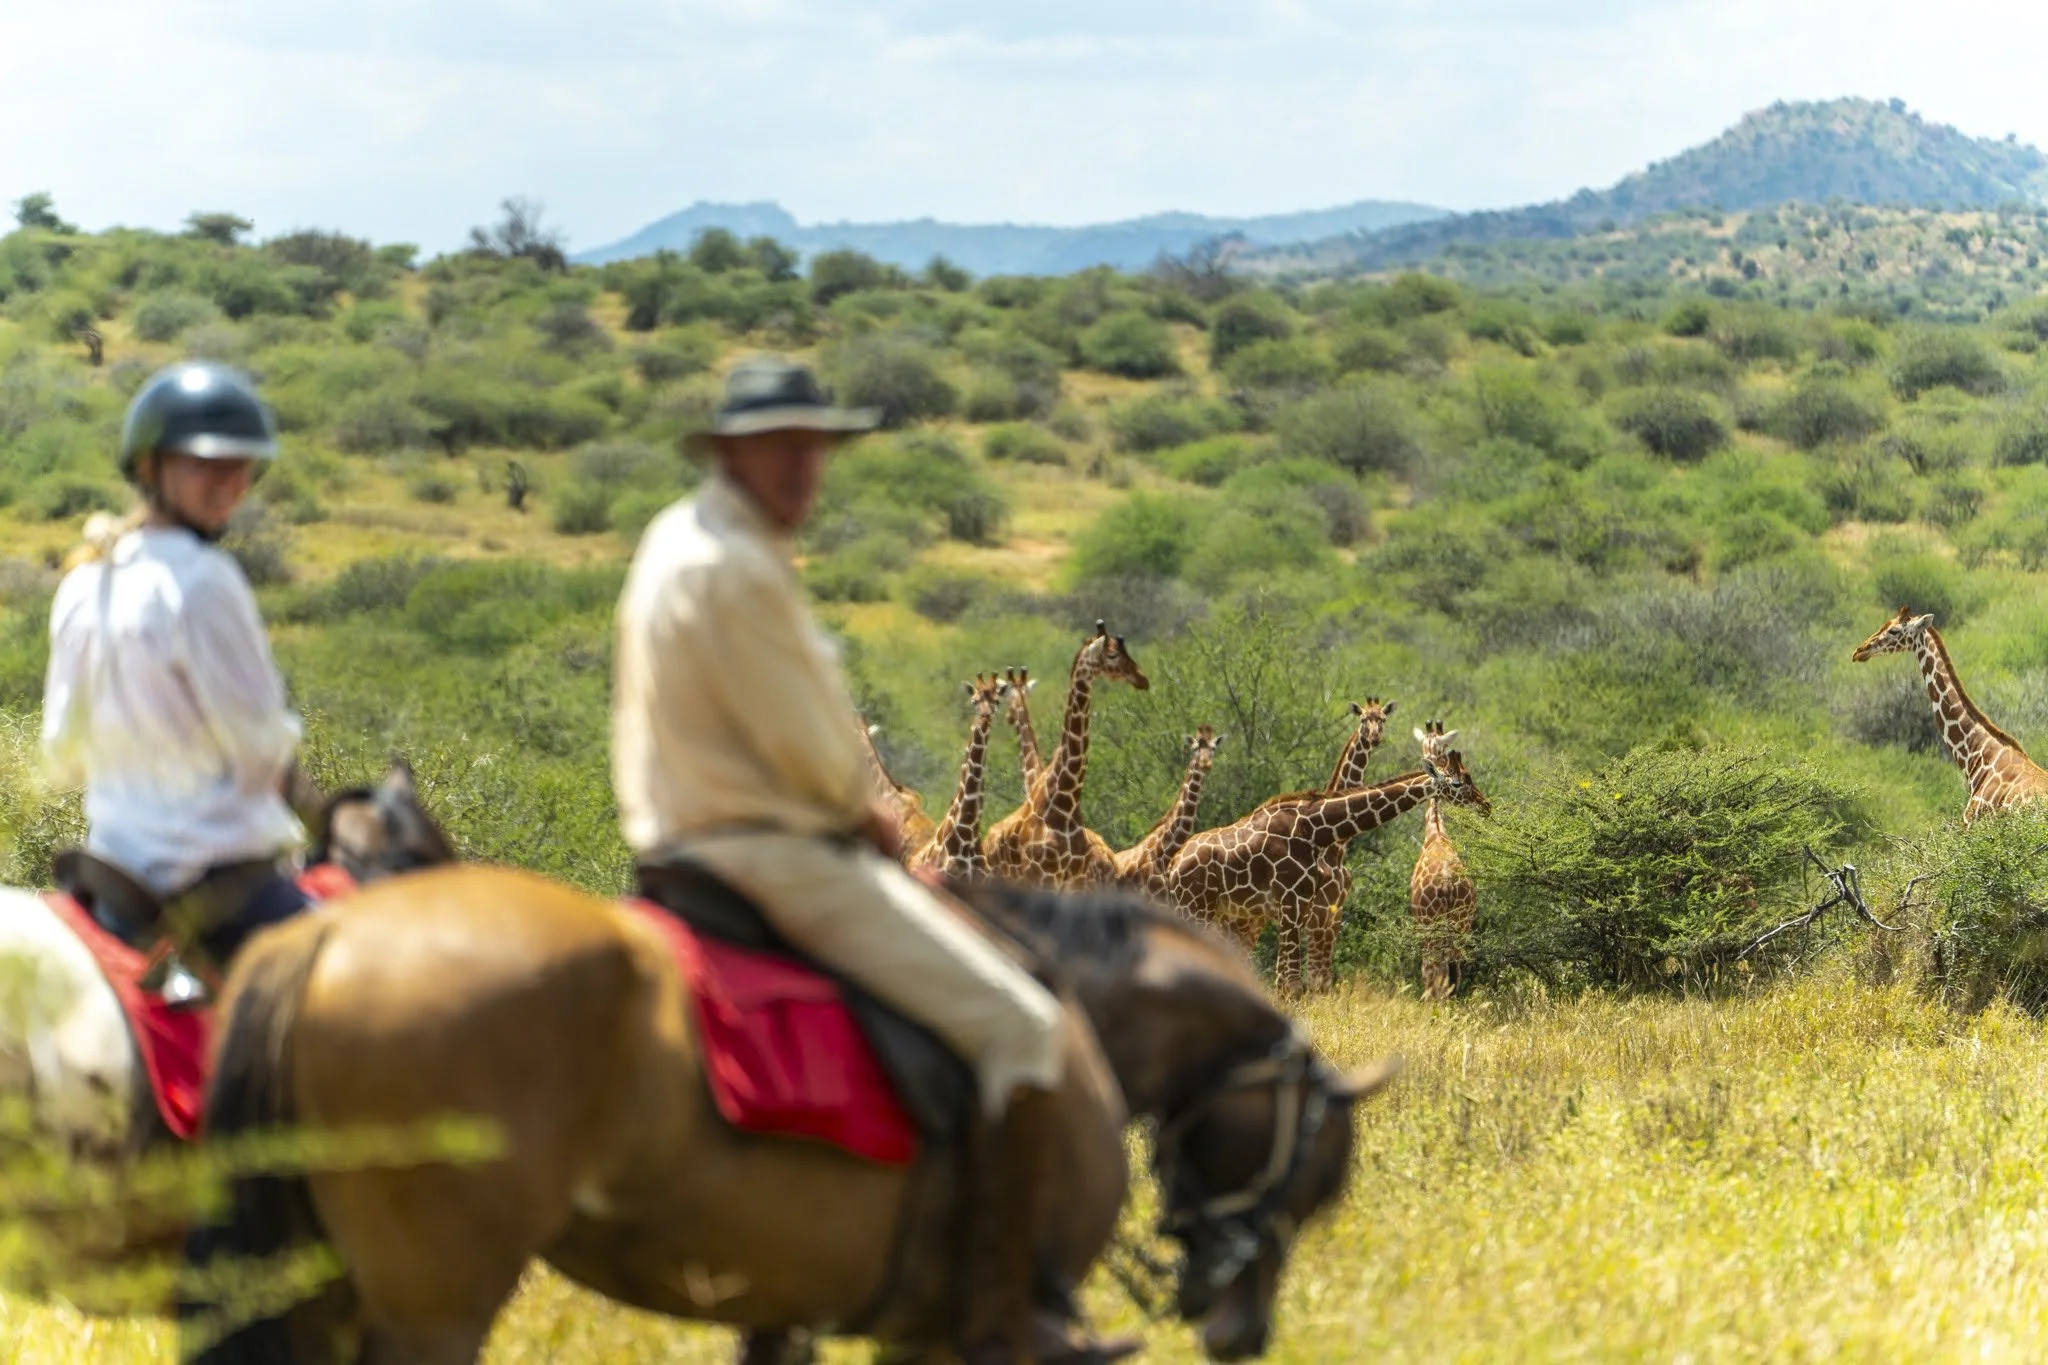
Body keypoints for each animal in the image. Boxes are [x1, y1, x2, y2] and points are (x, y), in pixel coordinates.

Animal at [182, 868, 1395, 1364]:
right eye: (1313, 1169)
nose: (1242, 1333)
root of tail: (321, 941)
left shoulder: (791, 1301)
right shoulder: (954, 1332)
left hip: (320, 1275)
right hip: (436, 1293)